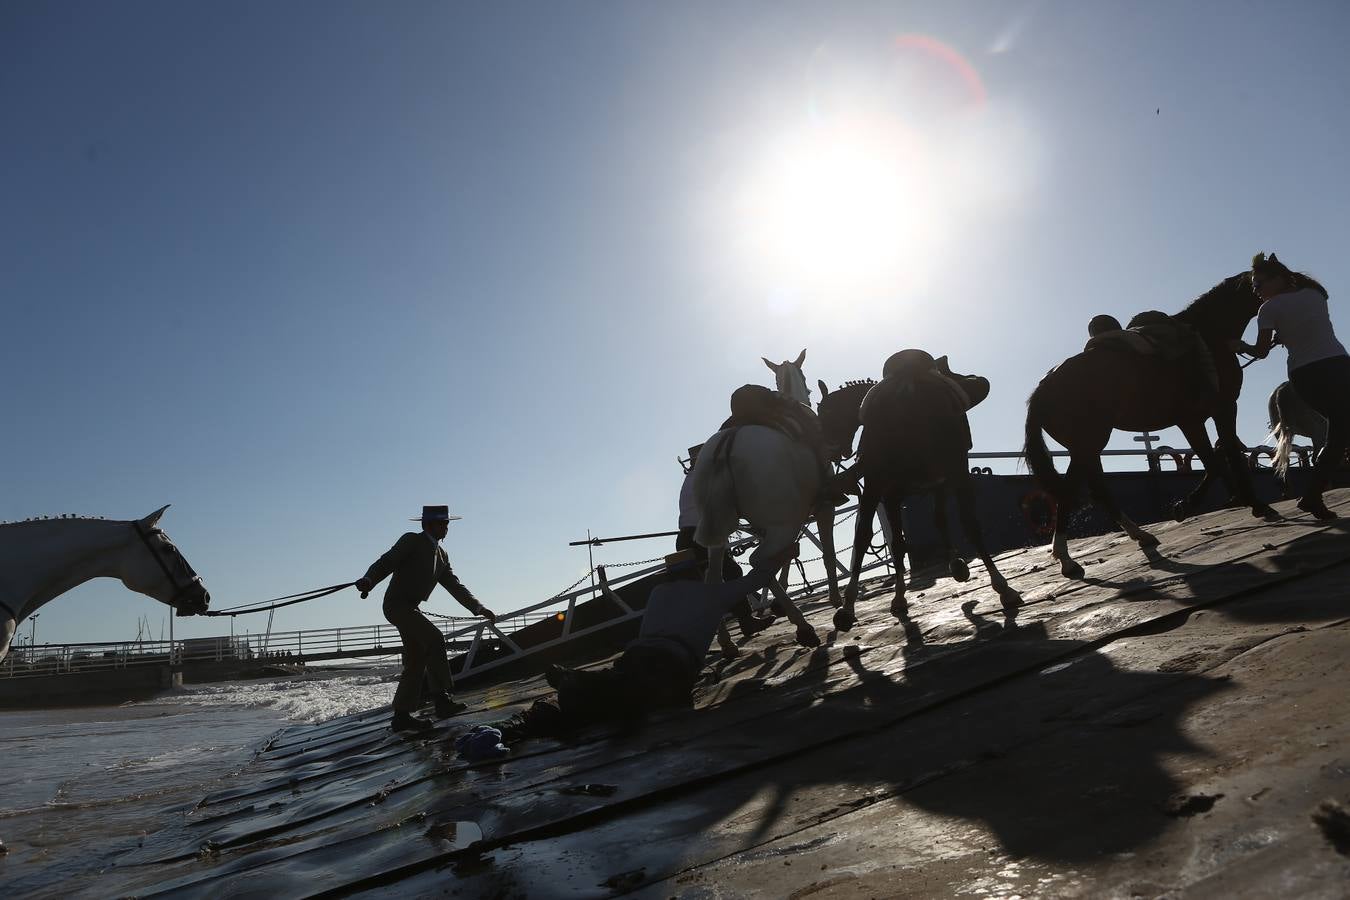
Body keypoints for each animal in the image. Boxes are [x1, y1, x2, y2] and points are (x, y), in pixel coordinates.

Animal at [696, 423, 831, 655]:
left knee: (713, 577)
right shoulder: (822, 508)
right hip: (783, 524)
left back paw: (726, 641)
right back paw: (803, 627)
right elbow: (827, 552)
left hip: (721, 529)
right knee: (757, 562)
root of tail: (726, 444)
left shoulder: (770, 528)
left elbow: (789, 556)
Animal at [810, 350, 1020, 634]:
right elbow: (892, 541)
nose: (832, 452)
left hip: (949, 471)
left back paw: (986, 577)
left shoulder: (904, 484)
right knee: (941, 520)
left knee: (962, 521)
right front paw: (888, 599)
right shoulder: (890, 492)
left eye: (826, 415)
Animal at [1026, 271, 1269, 580]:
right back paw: (1066, 559)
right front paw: (1243, 503)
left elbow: (1217, 459)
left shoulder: (1197, 418)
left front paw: (1235, 499)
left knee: (1097, 491)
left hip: (1087, 447)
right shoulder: (1213, 411)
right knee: (1070, 492)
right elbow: (1223, 458)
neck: (1208, 334)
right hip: (1087, 443)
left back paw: (1139, 535)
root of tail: (1041, 389)